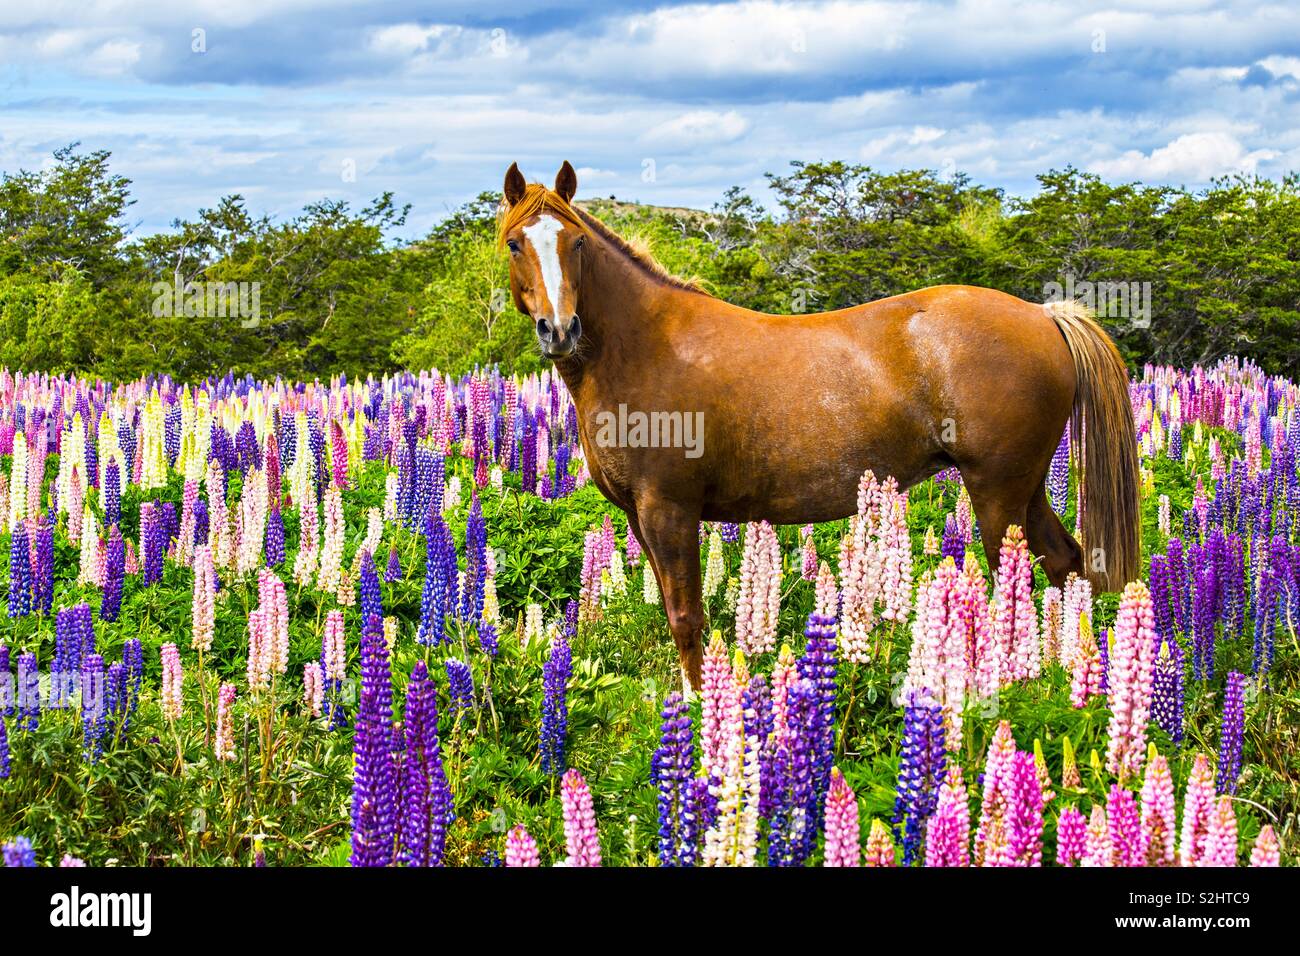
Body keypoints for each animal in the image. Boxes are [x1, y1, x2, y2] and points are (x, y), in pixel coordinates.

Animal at [496, 162, 1138, 686]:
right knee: (1063, 563)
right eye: (514, 244)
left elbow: (686, 617)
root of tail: (1044, 315)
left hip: (997, 493)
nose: (560, 330)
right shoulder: (640, 516)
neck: (646, 347)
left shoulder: (669, 510)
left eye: (577, 241)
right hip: (1024, 489)